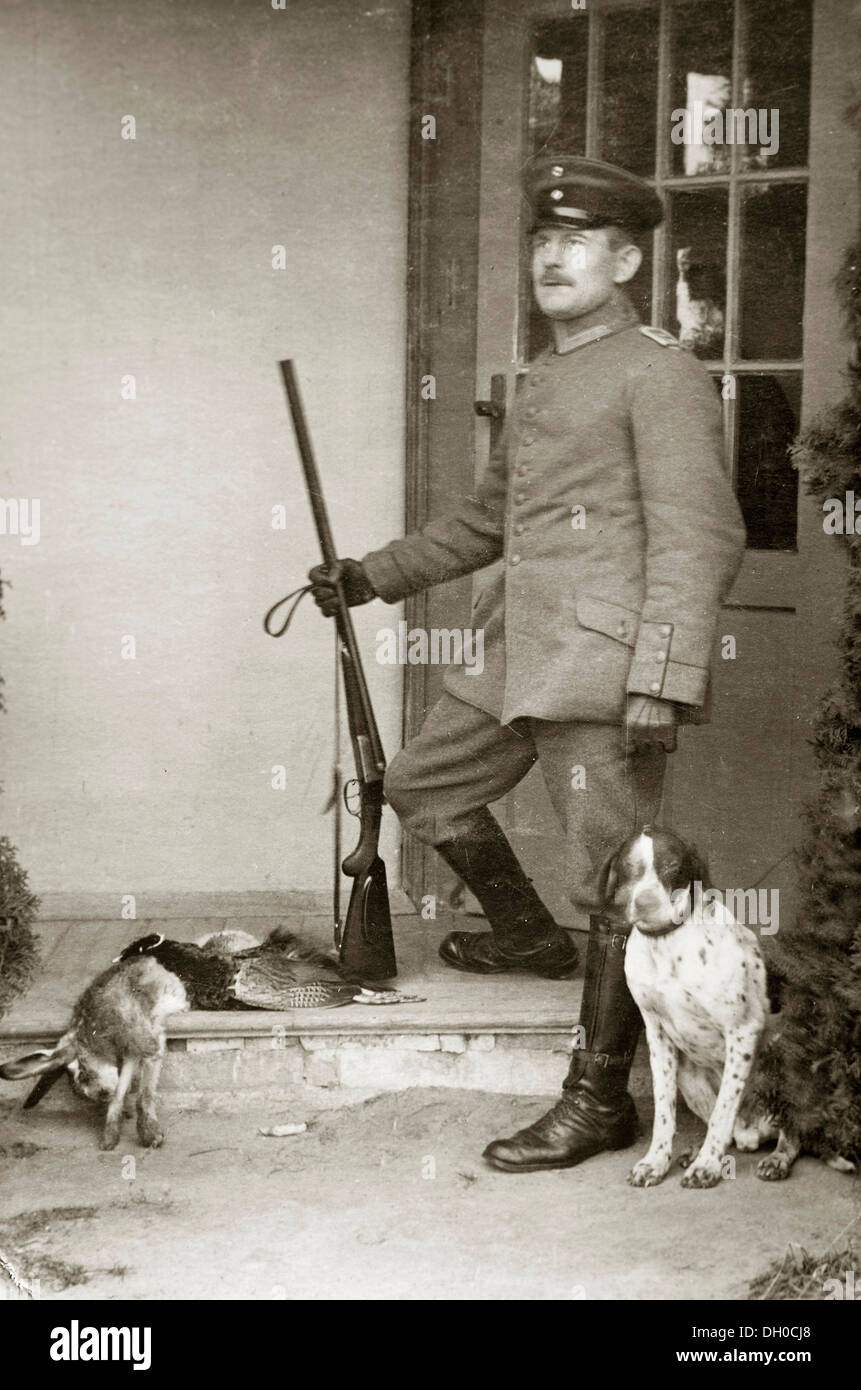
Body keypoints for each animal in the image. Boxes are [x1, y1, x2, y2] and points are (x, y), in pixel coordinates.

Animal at [592, 828, 795, 1189]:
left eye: (672, 866)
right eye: (628, 866)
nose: (645, 903)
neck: (666, 943)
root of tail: (755, 1131)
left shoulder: (742, 1031)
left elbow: (723, 1112)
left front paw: (708, 1166)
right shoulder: (657, 1035)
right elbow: (664, 1112)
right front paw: (656, 1162)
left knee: (792, 1137)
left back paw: (775, 1159)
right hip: (690, 1078)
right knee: (732, 1132)